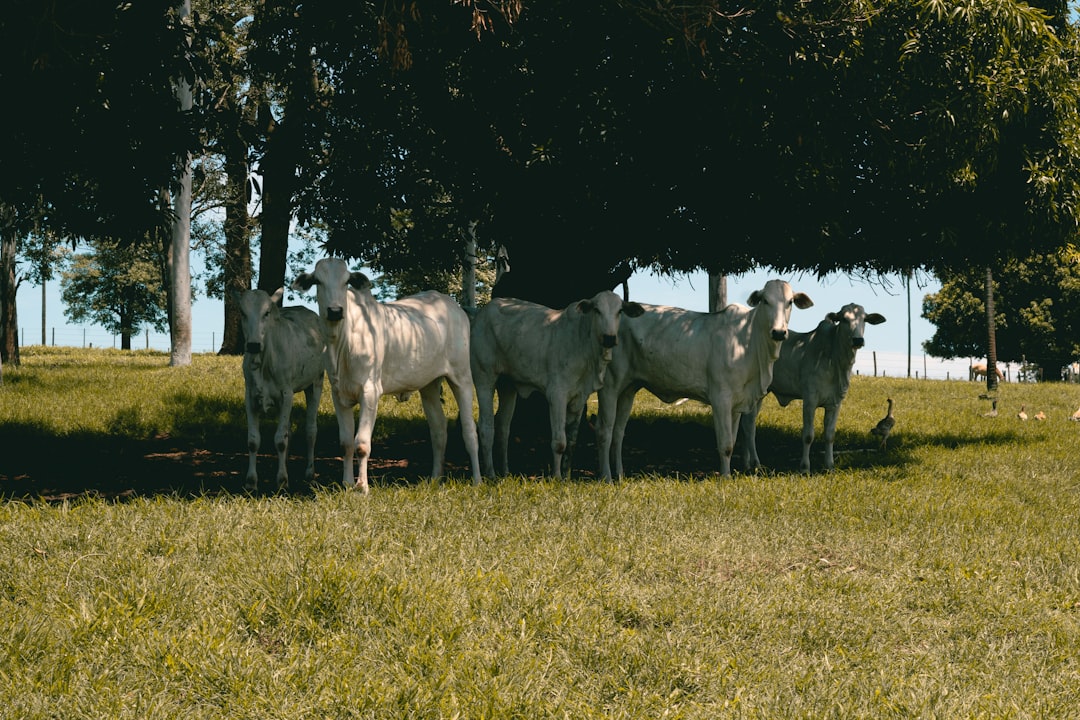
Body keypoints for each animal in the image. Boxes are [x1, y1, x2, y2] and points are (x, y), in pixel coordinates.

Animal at [235, 287, 321, 490]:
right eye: (242, 312)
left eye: (266, 312)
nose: (253, 344)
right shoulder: (250, 396)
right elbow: (253, 441)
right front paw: (251, 482)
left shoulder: (286, 394)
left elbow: (280, 440)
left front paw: (282, 481)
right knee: (288, 429)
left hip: (315, 383)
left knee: (310, 431)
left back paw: (309, 472)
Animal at [295, 255, 481, 492]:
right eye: (318, 281)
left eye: (346, 282)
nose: (335, 311)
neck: (341, 344)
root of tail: (451, 305)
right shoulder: (339, 394)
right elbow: (346, 443)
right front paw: (347, 483)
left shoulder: (370, 391)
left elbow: (361, 444)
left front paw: (362, 487)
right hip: (429, 384)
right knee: (439, 429)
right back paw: (435, 478)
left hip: (461, 376)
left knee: (469, 430)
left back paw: (477, 480)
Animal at [470, 289, 639, 481]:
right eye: (597, 310)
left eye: (620, 311)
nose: (609, 338)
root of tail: (482, 313)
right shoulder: (557, 395)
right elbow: (559, 442)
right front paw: (557, 477)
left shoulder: (579, 398)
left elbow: (571, 442)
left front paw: (567, 476)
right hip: (484, 378)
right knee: (486, 427)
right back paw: (490, 473)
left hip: (508, 385)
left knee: (503, 427)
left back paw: (505, 471)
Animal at [596, 280, 812, 479]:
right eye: (765, 301)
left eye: (790, 302)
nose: (779, 332)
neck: (749, 341)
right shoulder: (721, 398)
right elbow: (725, 444)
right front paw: (725, 477)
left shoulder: (737, 403)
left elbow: (733, 440)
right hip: (609, 385)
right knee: (604, 431)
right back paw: (606, 476)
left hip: (628, 388)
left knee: (618, 432)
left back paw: (620, 475)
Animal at [743, 302, 885, 472]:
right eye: (844, 319)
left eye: (865, 319)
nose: (858, 340)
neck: (835, 360)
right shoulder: (810, 400)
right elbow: (808, 436)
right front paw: (805, 467)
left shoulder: (835, 403)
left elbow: (829, 435)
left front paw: (829, 466)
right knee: (749, 425)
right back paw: (755, 463)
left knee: (747, 423)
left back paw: (748, 463)